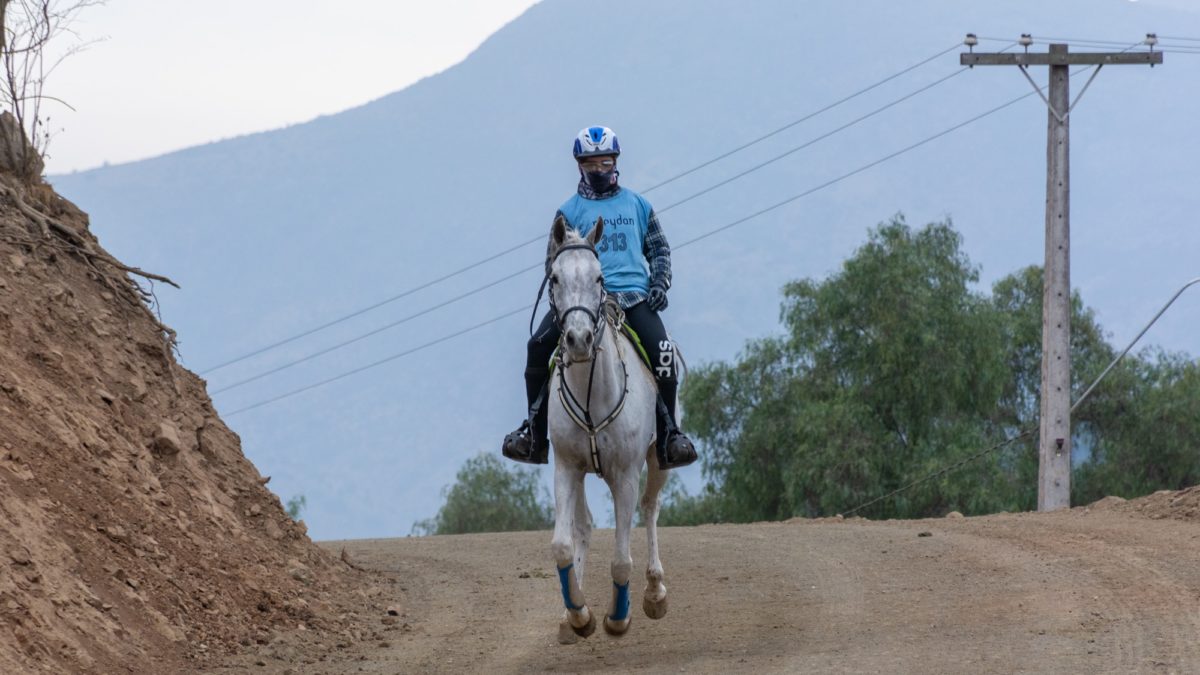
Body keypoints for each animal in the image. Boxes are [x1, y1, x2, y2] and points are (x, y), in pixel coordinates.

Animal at [547, 212, 672, 638]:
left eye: (600, 277)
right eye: (554, 277)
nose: (579, 339)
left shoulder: (625, 474)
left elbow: (621, 559)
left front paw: (618, 618)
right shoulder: (567, 466)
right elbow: (563, 545)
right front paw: (578, 613)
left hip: (658, 459)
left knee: (650, 509)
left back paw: (655, 591)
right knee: (583, 526)